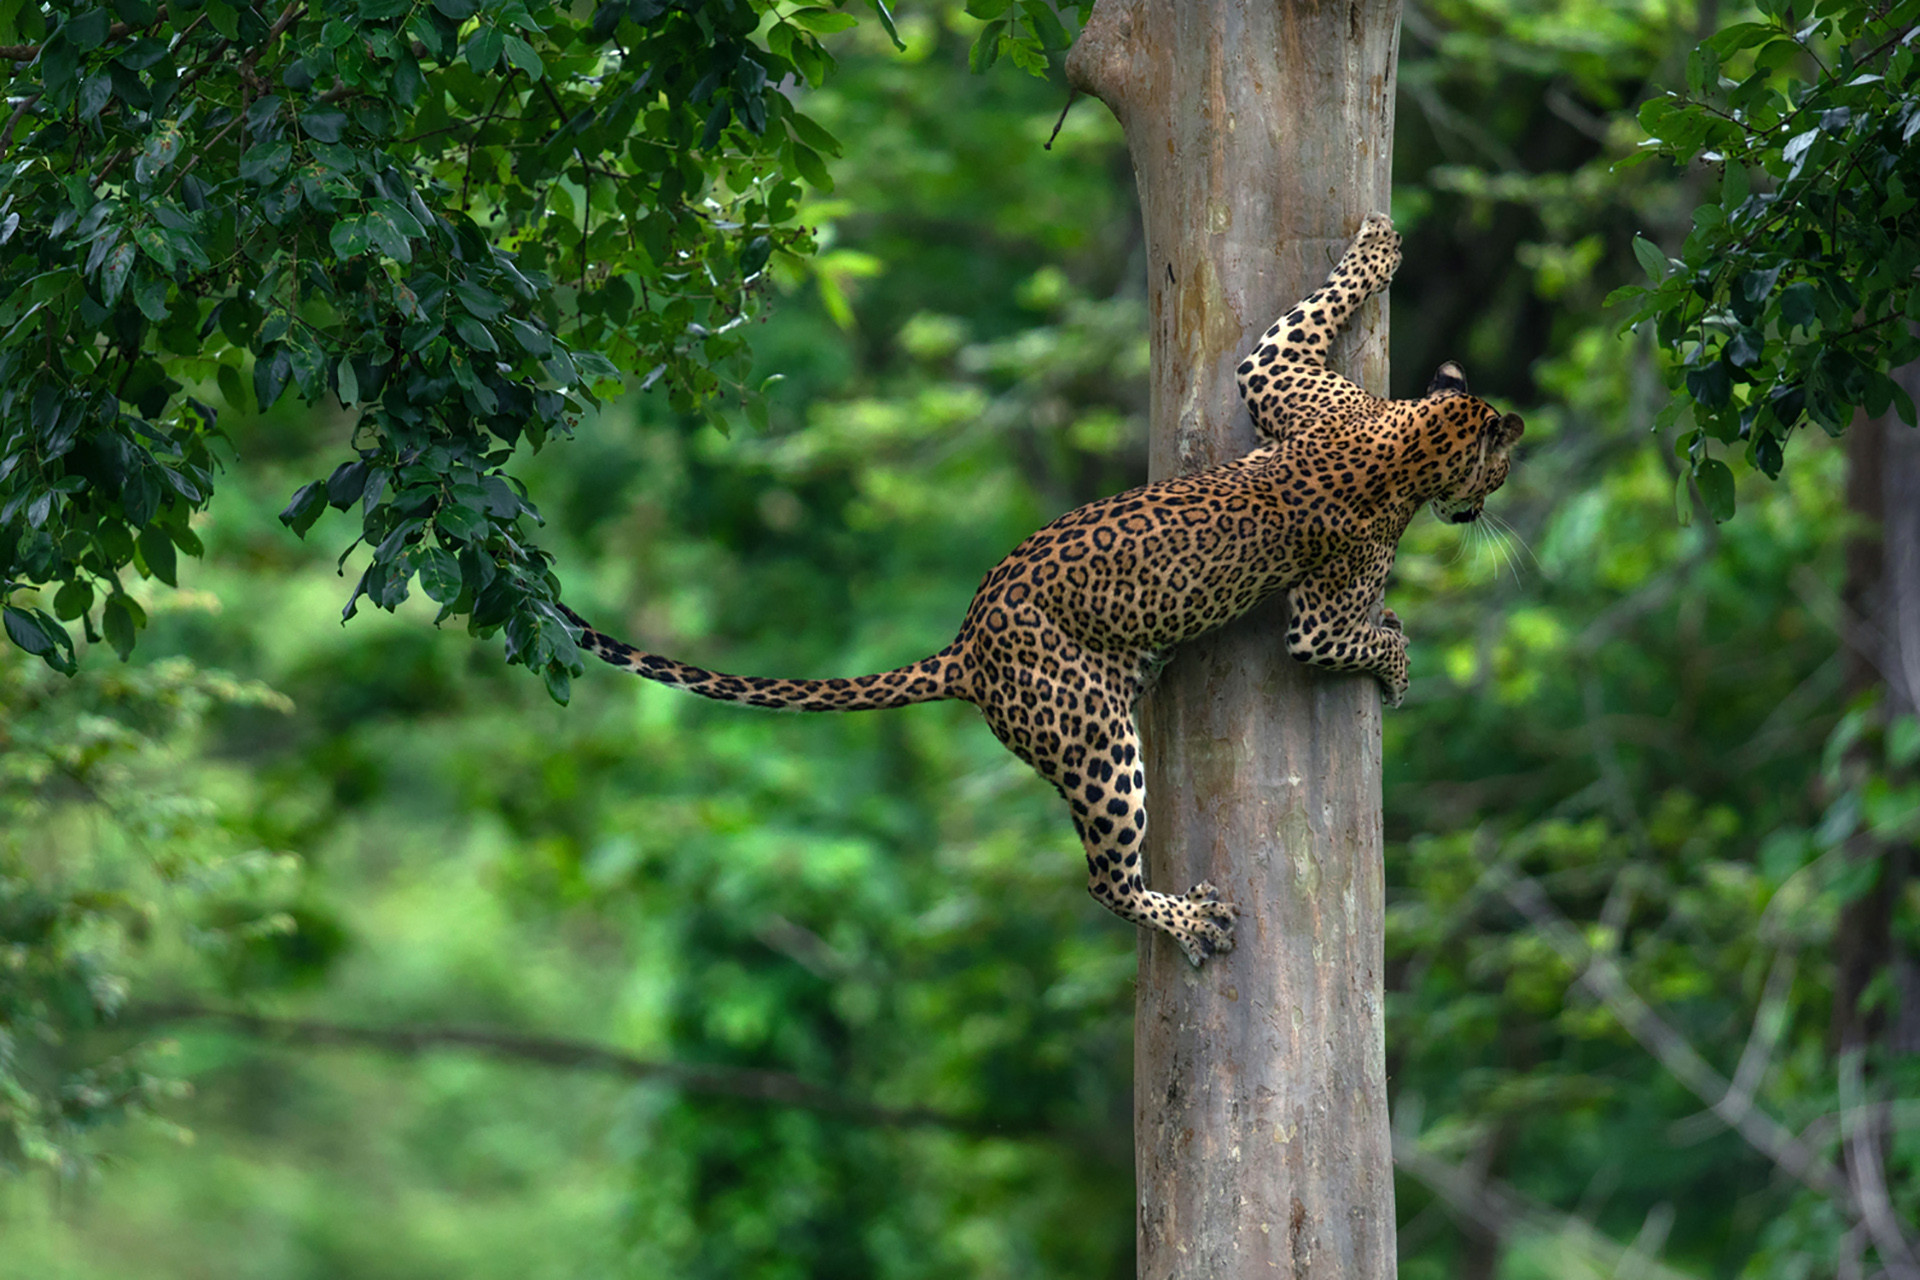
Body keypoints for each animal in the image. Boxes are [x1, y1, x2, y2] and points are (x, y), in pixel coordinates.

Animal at [559, 212, 1524, 967]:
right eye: (1504, 472)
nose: (1481, 508)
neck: (1403, 438)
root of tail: (964, 653)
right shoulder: (1319, 613)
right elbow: (1349, 636)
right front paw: (1398, 663)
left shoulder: (1279, 375)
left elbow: (1296, 318)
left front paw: (1378, 243)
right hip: (1095, 744)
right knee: (1103, 878)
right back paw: (1193, 920)